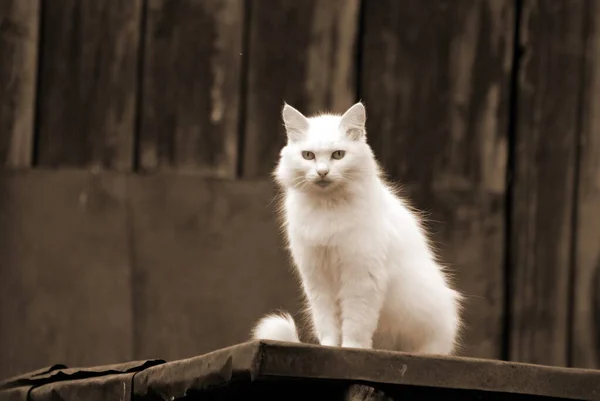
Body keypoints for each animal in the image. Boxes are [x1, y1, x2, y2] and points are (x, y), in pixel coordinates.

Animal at [251, 101, 462, 354]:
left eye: (338, 155)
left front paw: (352, 348)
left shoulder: (361, 276)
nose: (322, 172)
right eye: (308, 155)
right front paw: (330, 347)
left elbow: (355, 324)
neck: (328, 206)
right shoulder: (317, 278)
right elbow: (328, 324)